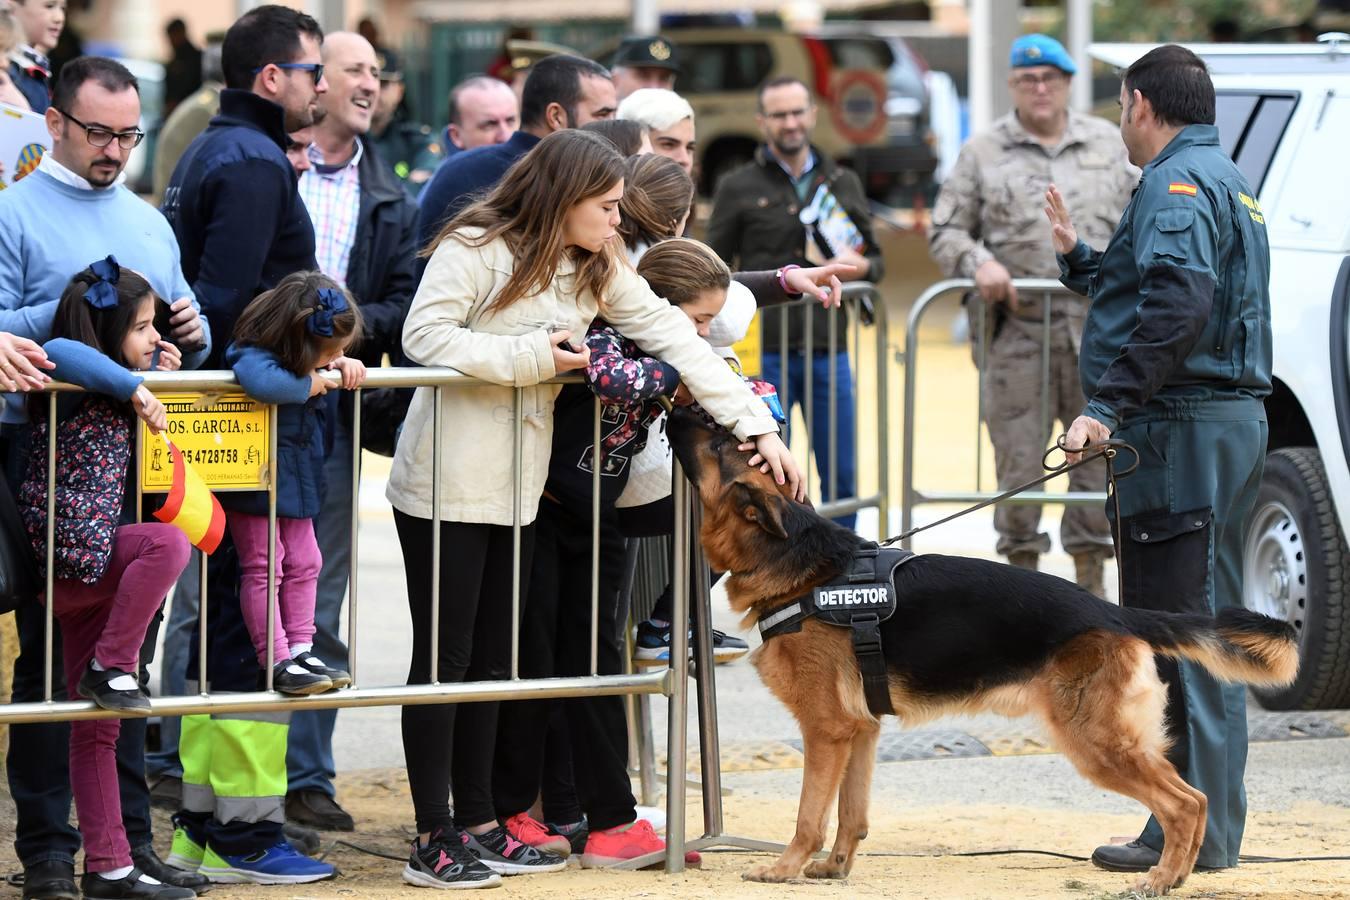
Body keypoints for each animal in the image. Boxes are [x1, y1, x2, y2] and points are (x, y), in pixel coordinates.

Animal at [669, 407, 1301, 895]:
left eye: (719, 440)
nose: (676, 407)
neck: (797, 561)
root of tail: (1113, 611)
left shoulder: (825, 730)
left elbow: (808, 815)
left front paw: (783, 869)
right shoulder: (860, 730)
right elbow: (852, 813)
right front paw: (835, 867)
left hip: (1096, 743)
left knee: (1186, 802)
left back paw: (1160, 879)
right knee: (1194, 800)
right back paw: (1178, 875)